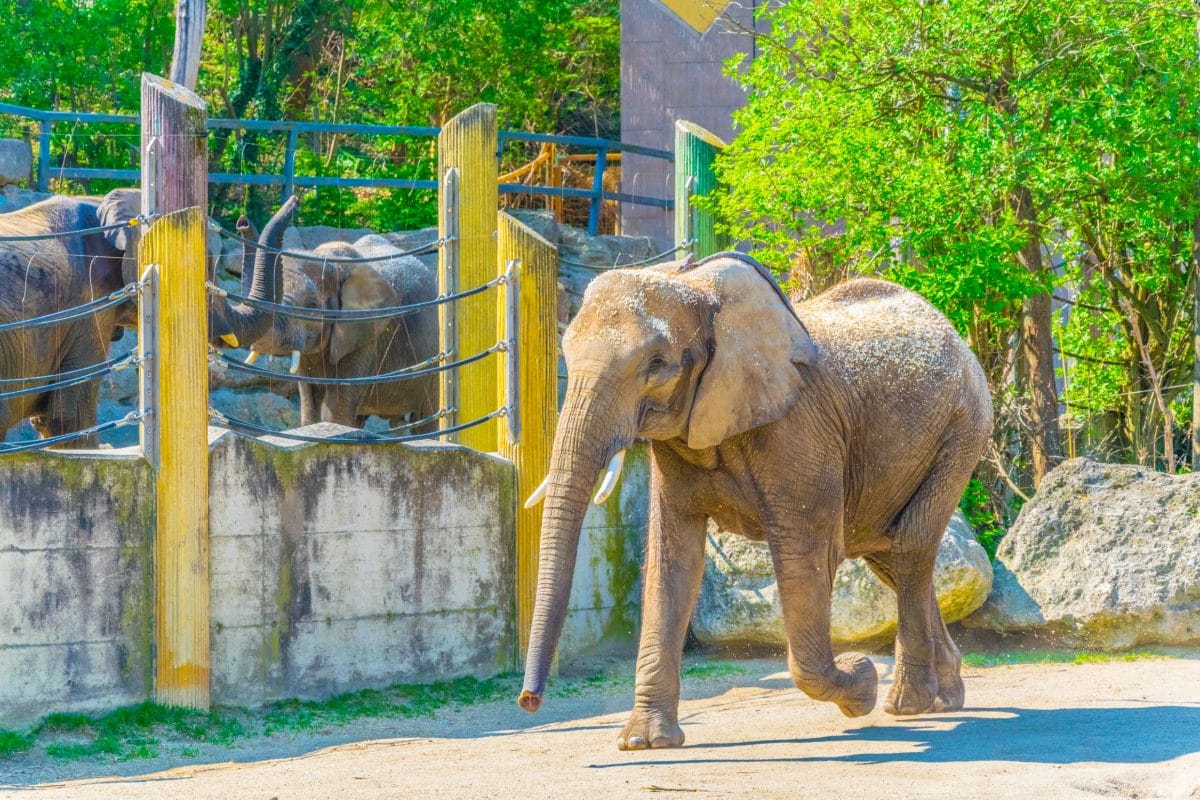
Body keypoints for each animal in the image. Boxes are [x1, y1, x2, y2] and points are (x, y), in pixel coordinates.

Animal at [236, 203, 439, 434]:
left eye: (312, 306)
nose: (242, 222)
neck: (331, 261)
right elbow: (310, 405)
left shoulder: (364, 334)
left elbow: (335, 409)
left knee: (425, 418)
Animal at [516, 251, 993, 753]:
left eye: (657, 363)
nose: (528, 701)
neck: (699, 286)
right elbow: (673, 562)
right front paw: (644, 743)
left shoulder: (798, 429)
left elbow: (805, 558)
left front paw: (861, 681)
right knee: (891, 559)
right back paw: (945, 698)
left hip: (963, 429)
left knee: (910, 546)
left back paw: (907, 704)